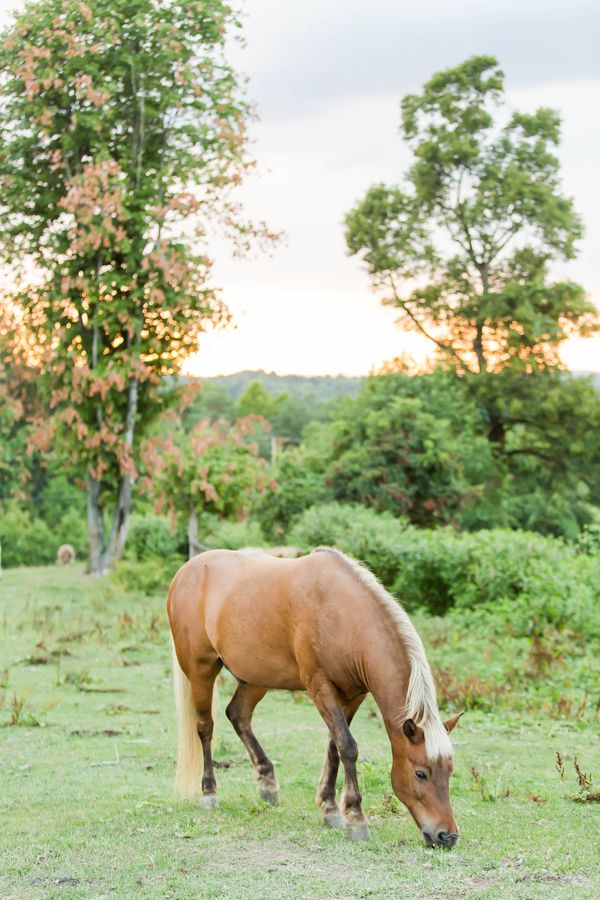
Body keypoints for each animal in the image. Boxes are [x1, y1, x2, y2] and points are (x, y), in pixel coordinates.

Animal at [166, 544, 462, 848]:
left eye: (450, 770)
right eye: (420, 773)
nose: (447, 835)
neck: (340, 614)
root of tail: (187, 571)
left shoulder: (353, 695)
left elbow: (334, 747)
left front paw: (329, 807)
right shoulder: (320, 687)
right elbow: (348, 746)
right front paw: (355, 818)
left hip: (256, 677)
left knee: (238, 714)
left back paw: (267, 783)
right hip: (201, 670)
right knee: (205, 727)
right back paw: (209, 792)